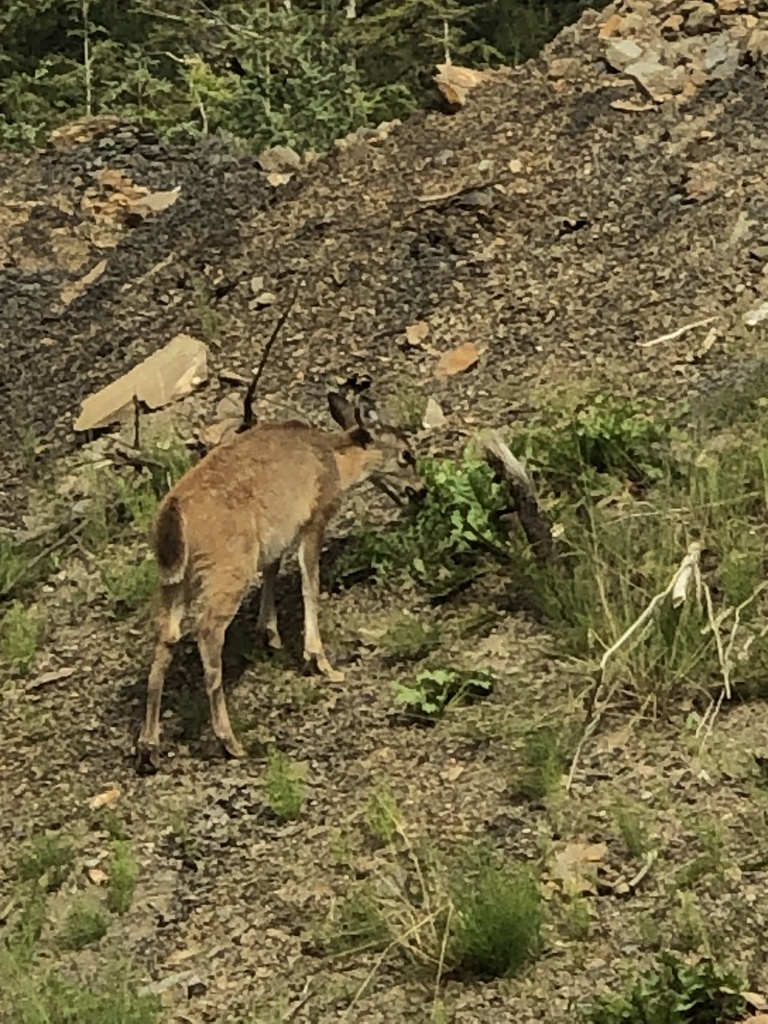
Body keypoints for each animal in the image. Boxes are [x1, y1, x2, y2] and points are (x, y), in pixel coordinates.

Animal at [136, 390, 426, 773]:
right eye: (407, 455)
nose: (420, 491)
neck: (335, 461)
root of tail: (172, 520)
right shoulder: (314, 517)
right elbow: (309, 585)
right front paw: (319, 661)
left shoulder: (277, 533)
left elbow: (273, 570)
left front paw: (269, 632)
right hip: (228, 566)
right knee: (207, 631)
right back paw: (230, 741)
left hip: (174, 581)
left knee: (166, 638)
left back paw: (149, 747)